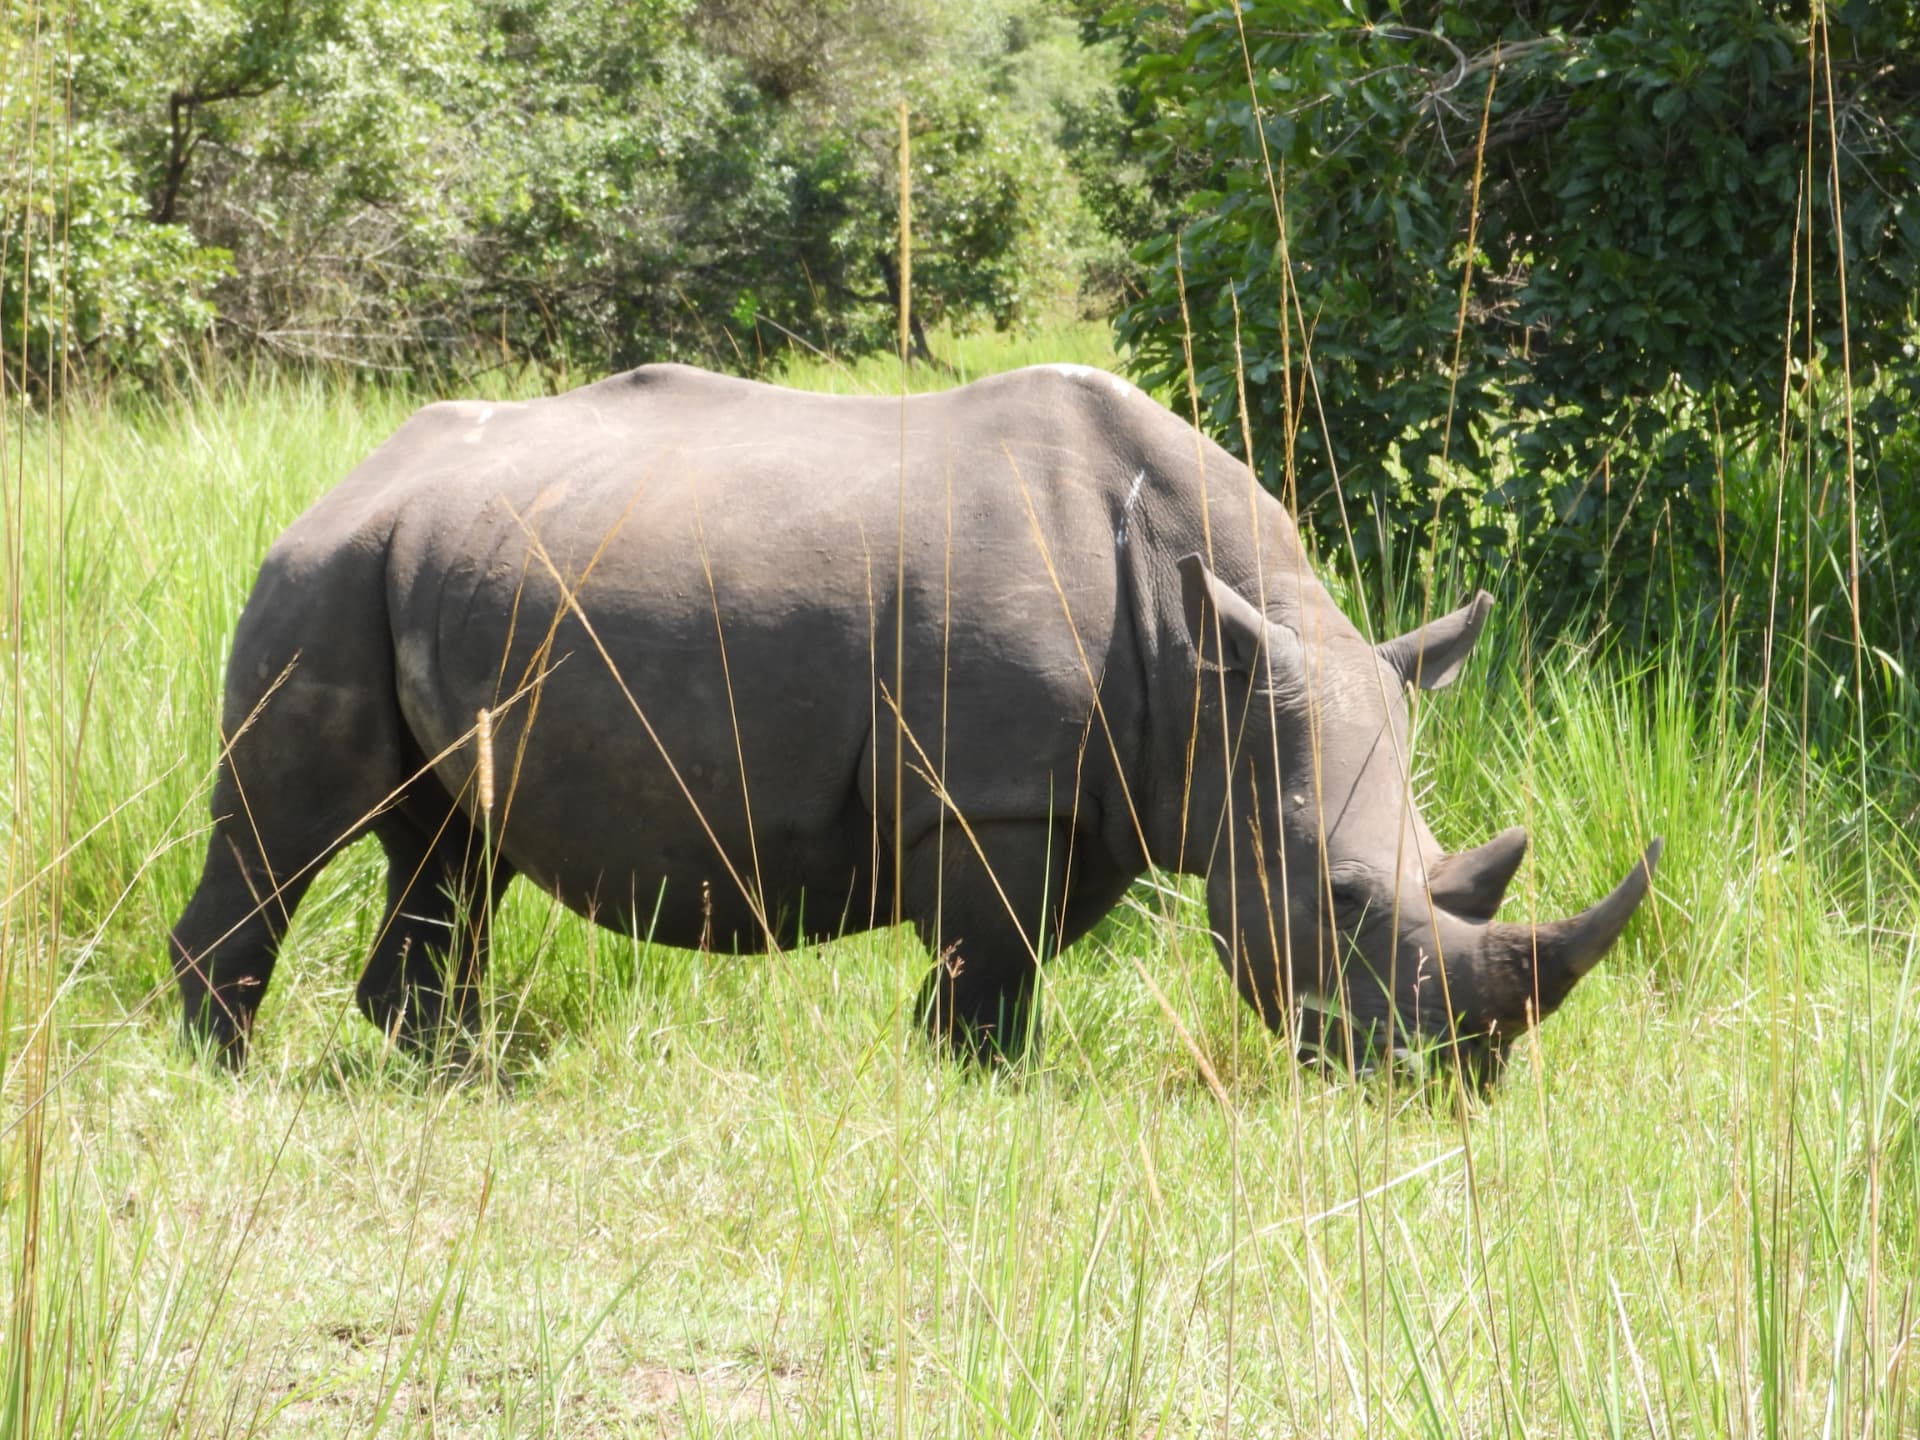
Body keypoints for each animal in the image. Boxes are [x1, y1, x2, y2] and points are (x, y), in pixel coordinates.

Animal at [171, 362, 1659, 1082]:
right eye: (1342, 898)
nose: (1445, 1082)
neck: (1211, 655)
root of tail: (356, 473)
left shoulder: (1092, 790)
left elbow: (1019, 956)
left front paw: (975, 1075)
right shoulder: (991, 790)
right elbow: (988, 968)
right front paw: (976, 1090)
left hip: (444, 564)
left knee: (447, 846)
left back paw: (446, 1072)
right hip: (323, 571)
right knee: (287, 832)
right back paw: (225, 1074)